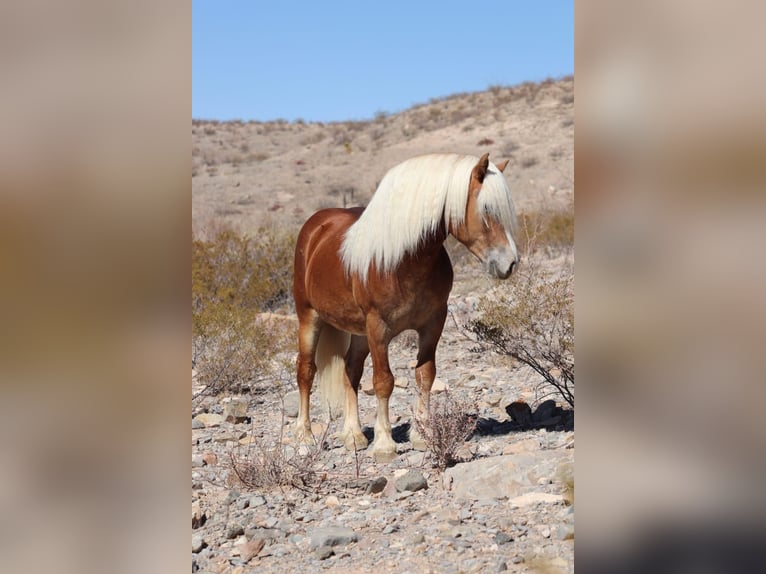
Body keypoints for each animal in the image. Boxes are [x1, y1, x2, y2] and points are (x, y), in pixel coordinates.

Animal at [292, 153, 520, 464]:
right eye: (486, 209)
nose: (510, 264)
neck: (403, 261)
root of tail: (316, 227)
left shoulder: (433, 323)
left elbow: (425, 375)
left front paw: (421, 434)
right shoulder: (379, 328)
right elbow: (383, 381)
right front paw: (385, 444)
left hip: (359, 333)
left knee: (350, 371)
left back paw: (353, 435)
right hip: (309, 318)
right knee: (306, 371)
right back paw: (304, 437)